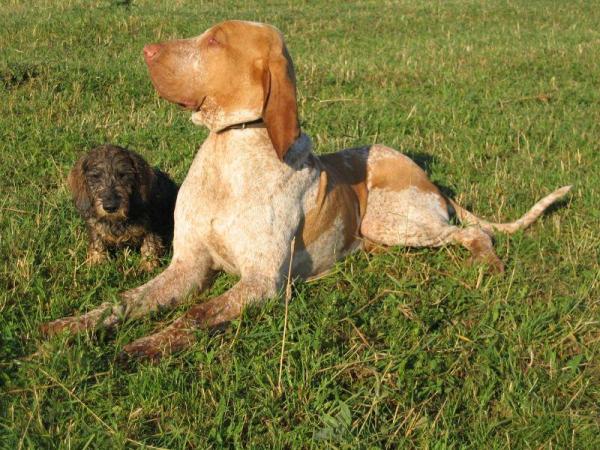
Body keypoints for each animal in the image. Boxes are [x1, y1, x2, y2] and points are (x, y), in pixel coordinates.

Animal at [43, 21, 572, 360]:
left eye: (215, 40)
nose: (147, 50)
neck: (231, 151)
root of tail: (427, 177)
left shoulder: (261, 282)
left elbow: (196, 315)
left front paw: (141, 346)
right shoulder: (187, 265)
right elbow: (125, 301)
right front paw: (71, 327)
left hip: (393, 218)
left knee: (474, 234)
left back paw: (489, 264)